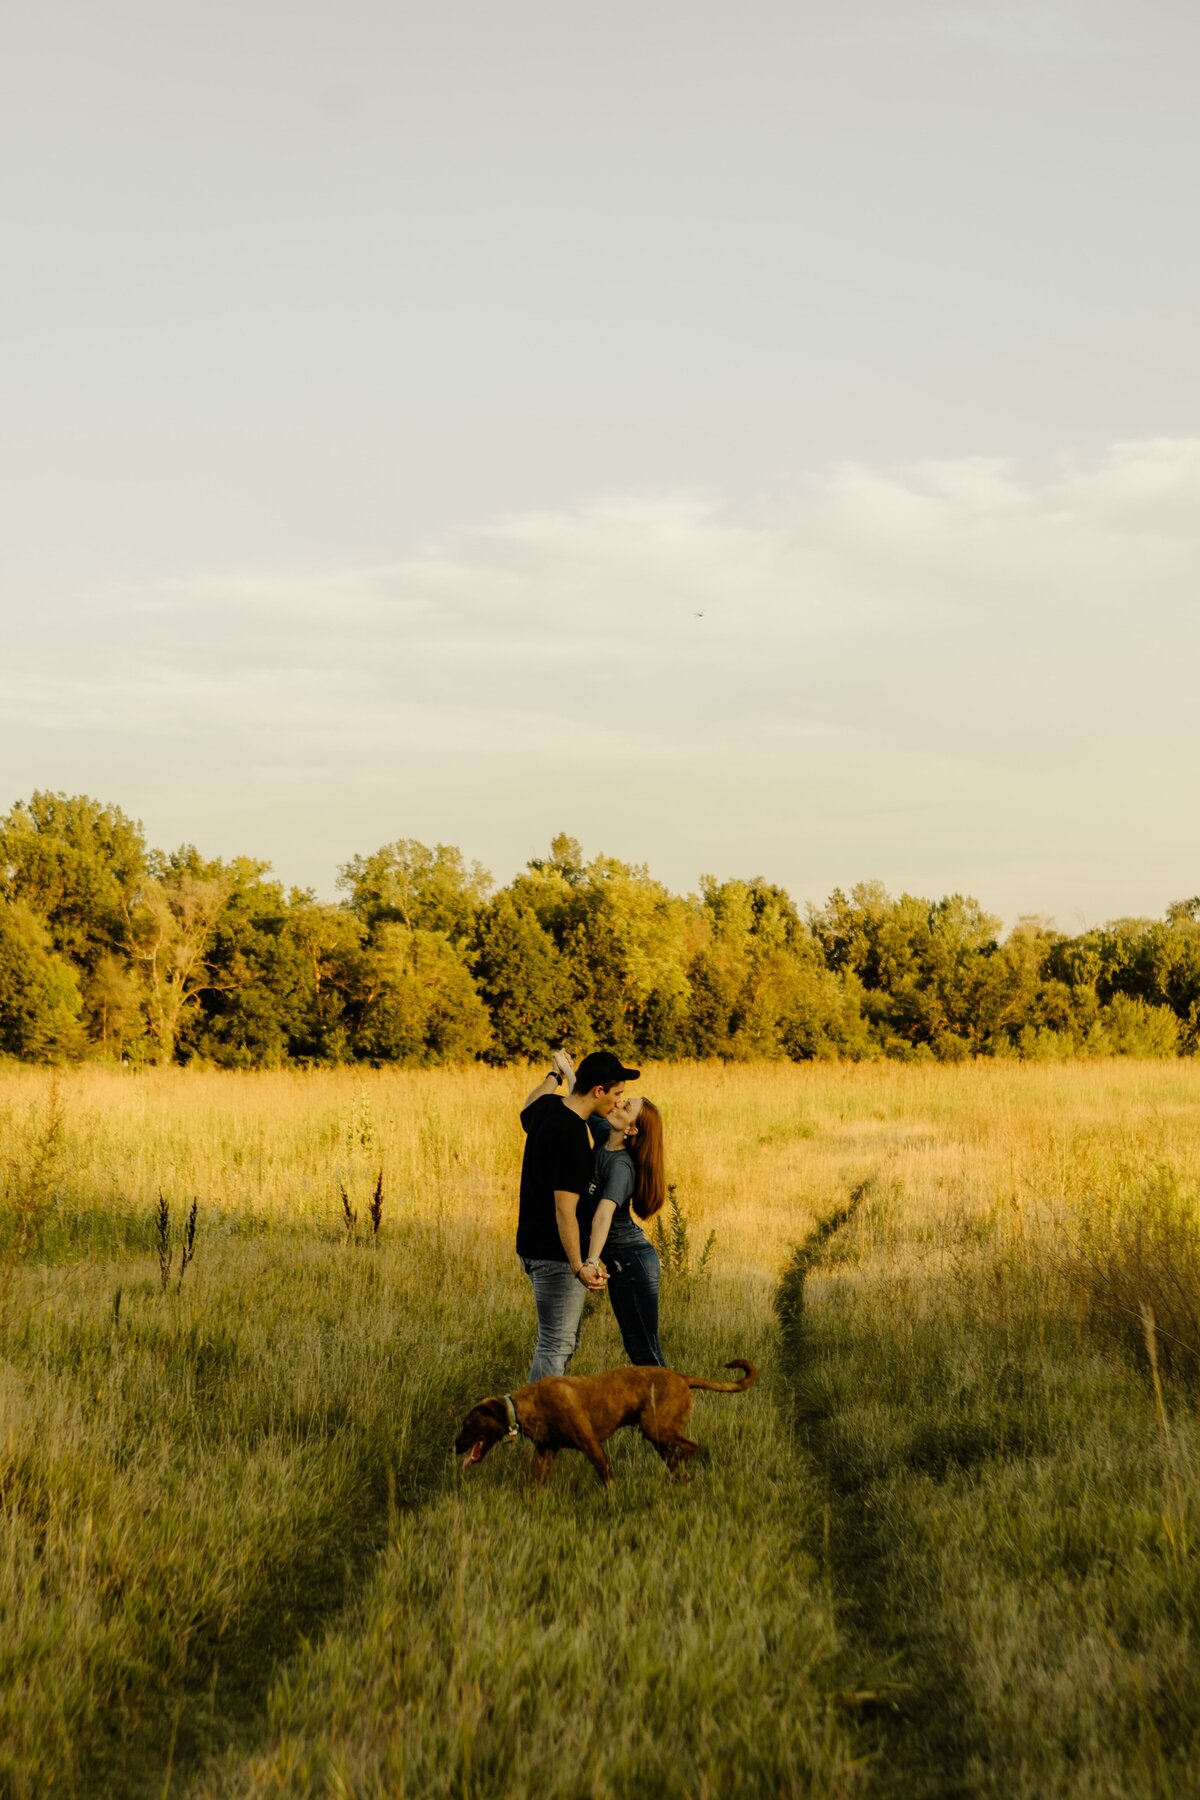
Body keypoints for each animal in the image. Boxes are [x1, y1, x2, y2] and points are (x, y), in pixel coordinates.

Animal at [454, 1359, 757, 1487]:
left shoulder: (591, 1445)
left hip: (655, 1428)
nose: (453, 1447)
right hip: (658, 1434)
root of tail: (682, 1377)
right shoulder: (545, 1453)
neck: (525, 1406)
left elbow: (607, 1477)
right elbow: (536, 1485)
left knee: (690, 1446)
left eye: (468, 1424)